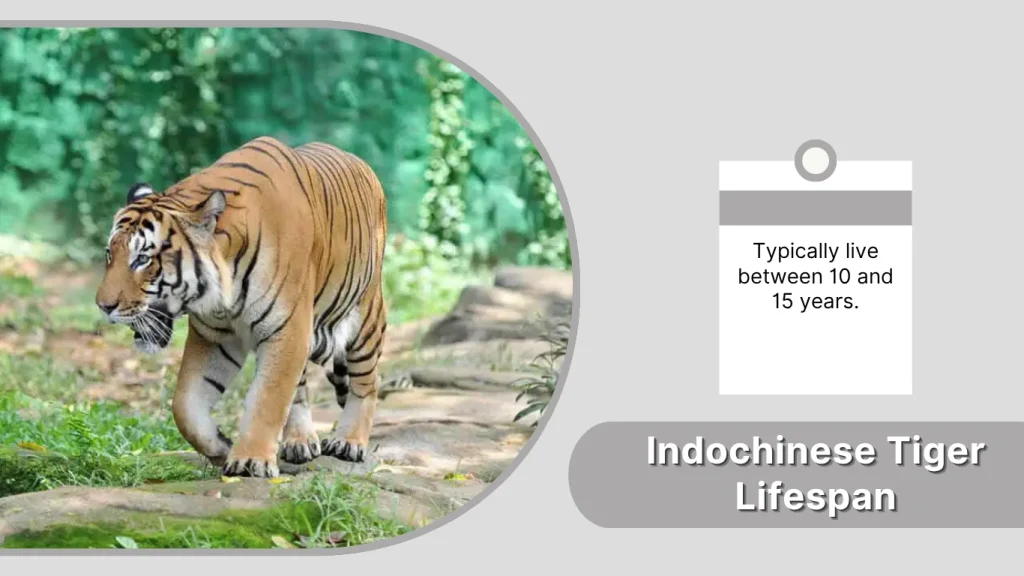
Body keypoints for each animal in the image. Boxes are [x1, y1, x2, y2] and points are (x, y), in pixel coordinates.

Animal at [94, 136, 388, 478]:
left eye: (142, 259)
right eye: (109, 254)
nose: (103, 306)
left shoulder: (286, 331)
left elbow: (267, 398)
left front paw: (250, 461)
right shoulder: (214, 337)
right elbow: (185, 405)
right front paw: (221, 446)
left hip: (366, 317)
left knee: (367, 382)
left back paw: (349, 442)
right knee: (301, 388)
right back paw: (299, 441)